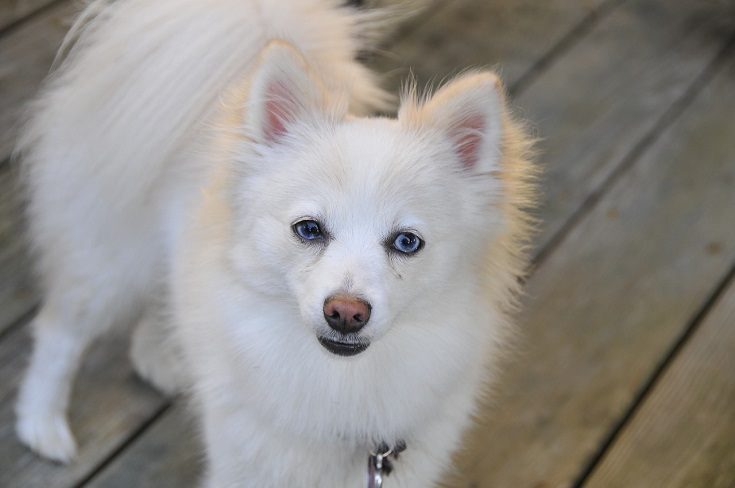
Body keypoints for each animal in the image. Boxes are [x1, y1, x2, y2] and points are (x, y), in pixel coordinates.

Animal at [14, 1, 536, 486]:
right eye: (308, 229)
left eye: (407, 242)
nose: (346, 312)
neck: (341, 386)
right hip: (108, 265)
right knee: (59, 334)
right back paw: (42, 425)